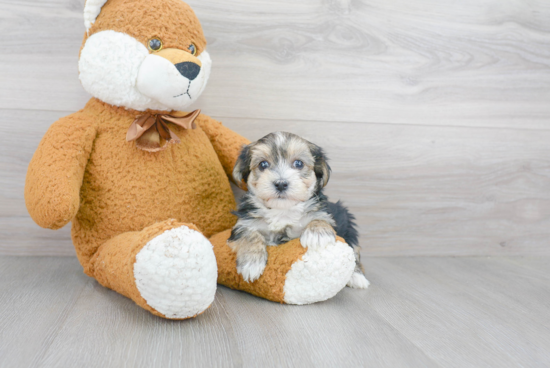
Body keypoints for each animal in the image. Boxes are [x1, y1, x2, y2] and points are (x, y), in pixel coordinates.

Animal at [229, 131, 370, 288]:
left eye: (298, 163)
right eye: (263, 164)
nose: (281, 183)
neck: (282, 210)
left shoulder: (323, 211)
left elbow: (320, 217)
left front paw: (318, 235)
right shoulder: (245, 222)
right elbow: (249, 233)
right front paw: (251, 262)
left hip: (347, 224)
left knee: (354, 250)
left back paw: (357, 276)